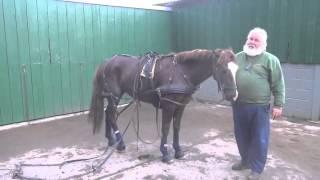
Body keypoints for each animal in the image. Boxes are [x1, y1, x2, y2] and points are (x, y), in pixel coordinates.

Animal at [87, 48, 238, 162]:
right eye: (223, 69)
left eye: (236, 70)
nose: (233, 95)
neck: (182, 72)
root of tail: (107, 62)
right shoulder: (169, 105)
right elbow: (165, 128)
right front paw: (165, 153)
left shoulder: (180, 105)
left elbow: (176, 127)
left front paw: (178, 151)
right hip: (114, 95)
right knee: (112, 114)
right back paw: (120, 144)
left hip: (112, 97)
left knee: (108, 113)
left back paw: (111, 140)